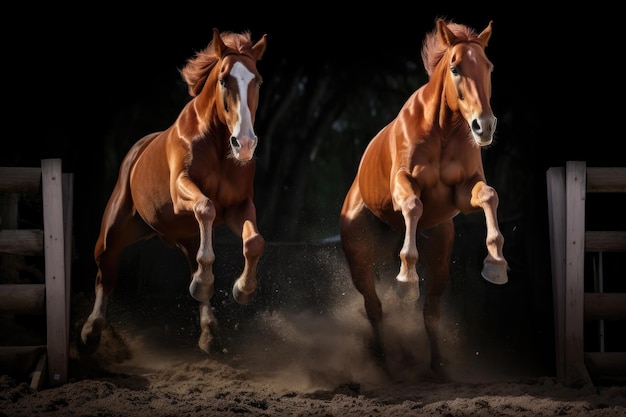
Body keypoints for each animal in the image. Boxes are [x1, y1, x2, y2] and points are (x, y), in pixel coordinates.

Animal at [79, 28, 266, 354]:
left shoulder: (239, 206)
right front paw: (212, 284)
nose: (243, 144)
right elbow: (206, 206)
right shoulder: (182, 192)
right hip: (113, 233)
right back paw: (91, 332)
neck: (217, 144)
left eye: (258, 81)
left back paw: (208, 330)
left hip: (187, 237)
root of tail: (136, 151)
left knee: (194, 263)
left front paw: (243, 290)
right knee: (106, 273)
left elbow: (254, 241)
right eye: (223, 79)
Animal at [338, 18, 510, 376]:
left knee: (430, 311)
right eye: (455, 68)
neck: (442, 129)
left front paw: (496, 263)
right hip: (360, 260)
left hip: (440, 256)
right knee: (374, 307)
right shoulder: (403, 184)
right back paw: (383, 361)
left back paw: (438, 366)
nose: (484, 126)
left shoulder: (464, 192)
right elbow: (413, 205)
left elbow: (488, 196)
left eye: (488, 66)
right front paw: (406, 279)